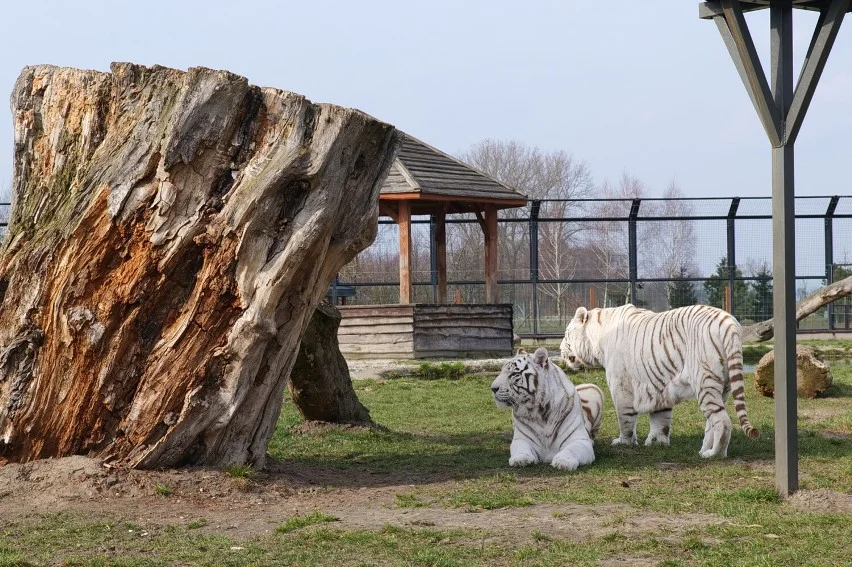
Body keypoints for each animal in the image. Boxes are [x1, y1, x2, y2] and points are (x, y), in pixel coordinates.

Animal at [560, 304, 760, 460]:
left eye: (566, 334)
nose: (561, 349)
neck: (598, 338)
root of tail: (728, 322)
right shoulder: (658, 384)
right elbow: (661, 420)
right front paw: (657, 443)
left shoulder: (621, 385)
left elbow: (625, 418)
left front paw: (624, 442)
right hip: (723, 387)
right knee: (712, 421)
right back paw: (704, 450)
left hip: (705, 382)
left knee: (722, 421)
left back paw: (715, 454)